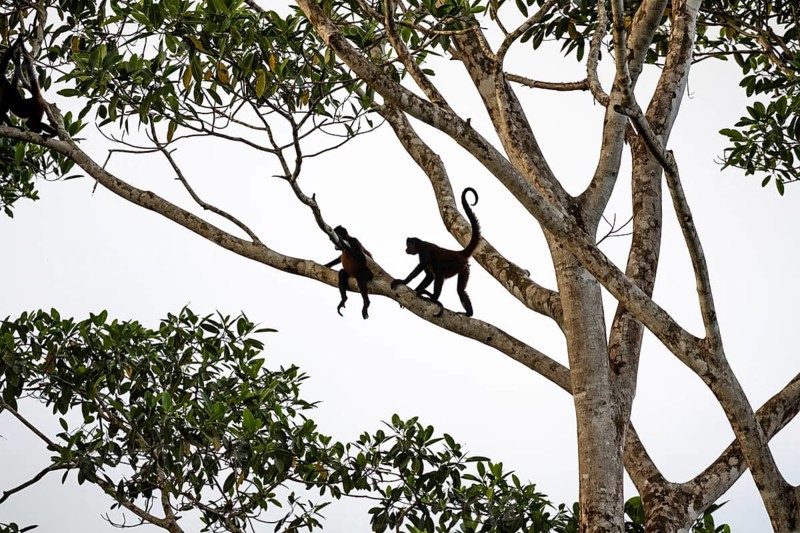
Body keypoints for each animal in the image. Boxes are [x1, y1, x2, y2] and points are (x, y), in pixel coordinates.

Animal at [391, 187, 480, 317]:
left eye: (408, 245)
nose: (406, 249)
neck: (421, 244)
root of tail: (459, 252)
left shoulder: (425, 251)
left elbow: (422, 269)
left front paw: (403, 281)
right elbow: (429, 276)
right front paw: (415, 290)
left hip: (456, 264)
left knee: (440, 271)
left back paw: (433, 298)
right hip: (464, 268)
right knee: (460, 290)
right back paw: (469, 313)